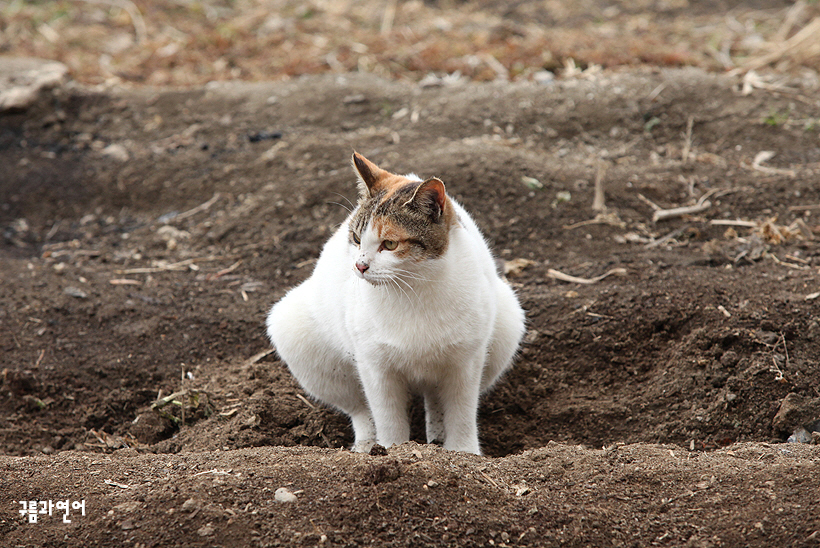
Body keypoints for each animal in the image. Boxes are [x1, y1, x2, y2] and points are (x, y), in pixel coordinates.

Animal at [270, 153, 524, 454]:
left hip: (507, 323)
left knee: (435, 400)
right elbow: (386, 417)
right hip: (298, 335)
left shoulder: (466, 362)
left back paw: (436, 438)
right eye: (356, 239)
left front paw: (463, 453)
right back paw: (366, 445)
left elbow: (461, 413)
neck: (412, 289)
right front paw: (393, 451)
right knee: (360, 409)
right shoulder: (375, 367)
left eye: (389, 244)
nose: (360, 266)